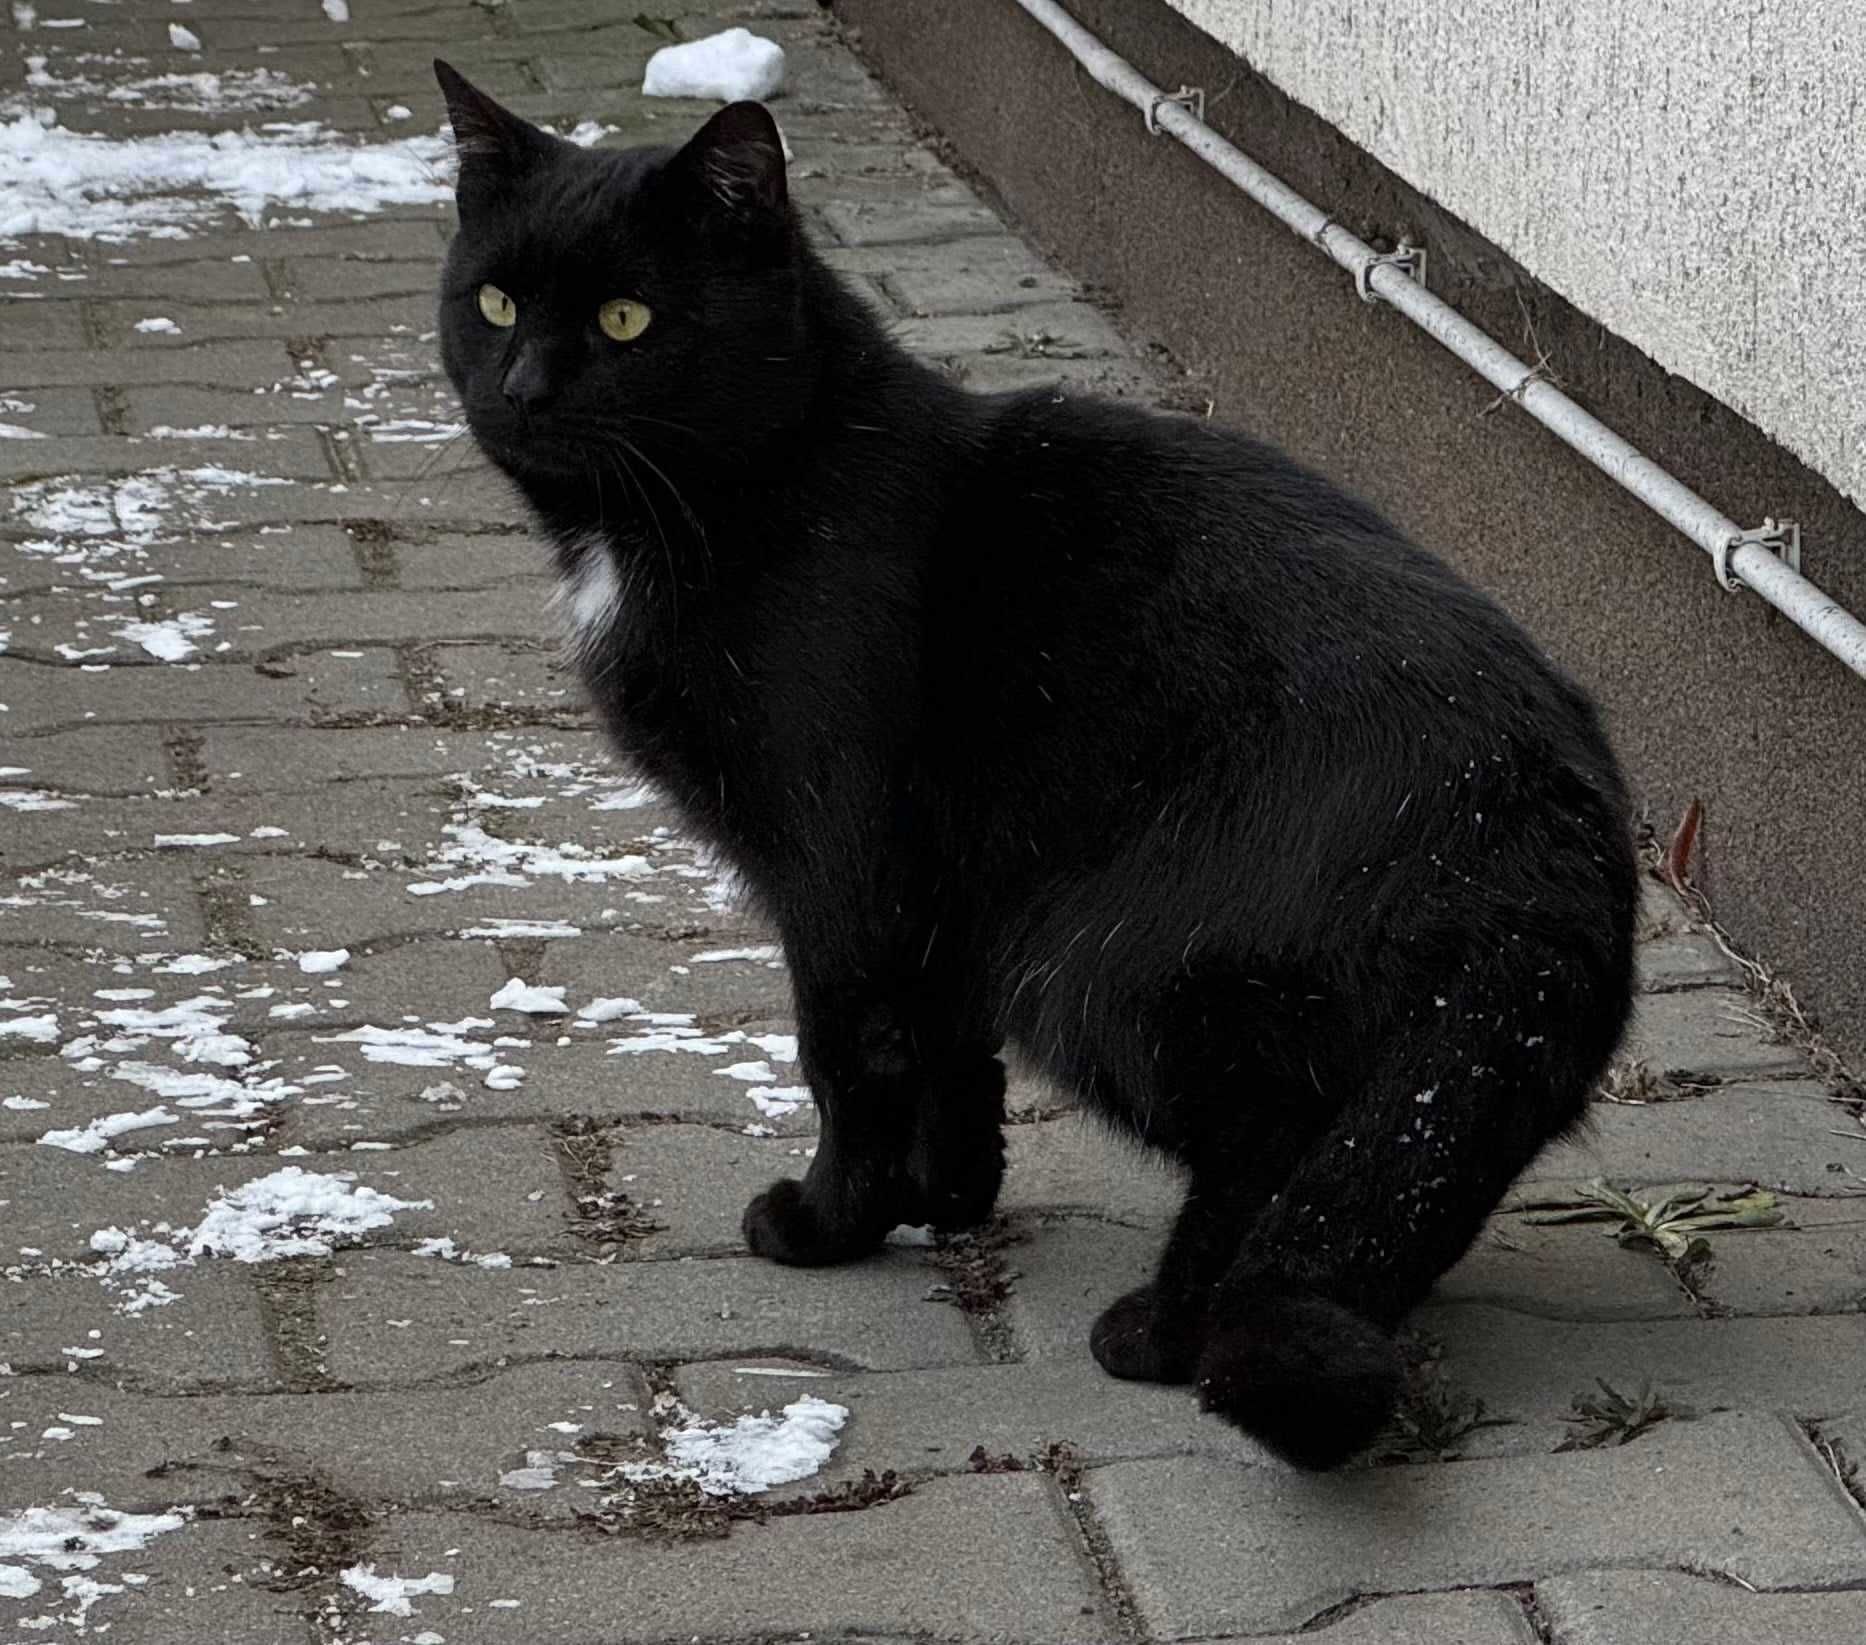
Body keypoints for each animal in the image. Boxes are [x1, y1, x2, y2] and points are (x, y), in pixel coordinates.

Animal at [432, 64, 1634, 1469]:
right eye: (495, 302)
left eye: (627, 320)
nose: (522, 386)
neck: (750, 490)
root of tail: (1546, 839)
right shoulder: (950, 887)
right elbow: (948, 1056)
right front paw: (948, 1195)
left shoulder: (843, 868)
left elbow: (846, 1058)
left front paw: (828, 1223)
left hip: (1096, 956)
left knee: (1272, 1134)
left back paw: (1168, 1331)